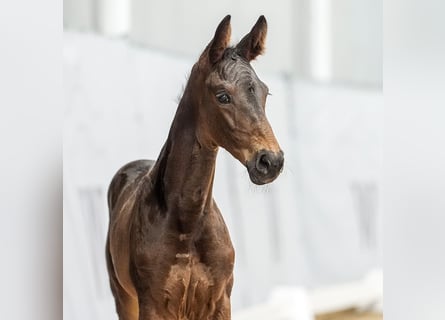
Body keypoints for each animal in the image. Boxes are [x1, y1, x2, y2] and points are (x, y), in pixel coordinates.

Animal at [106, 15, 282, 320]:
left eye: (264, 92)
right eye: (222, 96)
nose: (271, 161)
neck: (188, 222)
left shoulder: (219, 301)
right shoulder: (153, 305)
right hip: (123, 297)